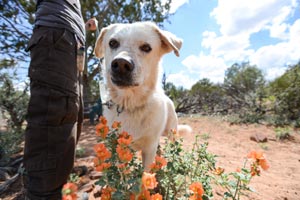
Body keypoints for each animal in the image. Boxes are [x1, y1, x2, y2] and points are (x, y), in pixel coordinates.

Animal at [94, 21, 189, 169]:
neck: (130, 104)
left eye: (146, 47)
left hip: (171, 133)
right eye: (113, 43)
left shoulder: (149, 149)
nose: (121, 63)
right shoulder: (118, 149)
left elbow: (145, 174)